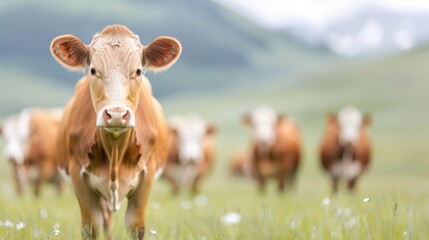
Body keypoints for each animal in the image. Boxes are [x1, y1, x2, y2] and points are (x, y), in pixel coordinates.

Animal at [50, 23, 181, 238]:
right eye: (93, 70)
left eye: (138, 71)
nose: (117, 114)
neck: (115, 150)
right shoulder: (78, 175)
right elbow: (91, 226)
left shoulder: (147, 175)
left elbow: (136, 226)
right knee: (105, 221)